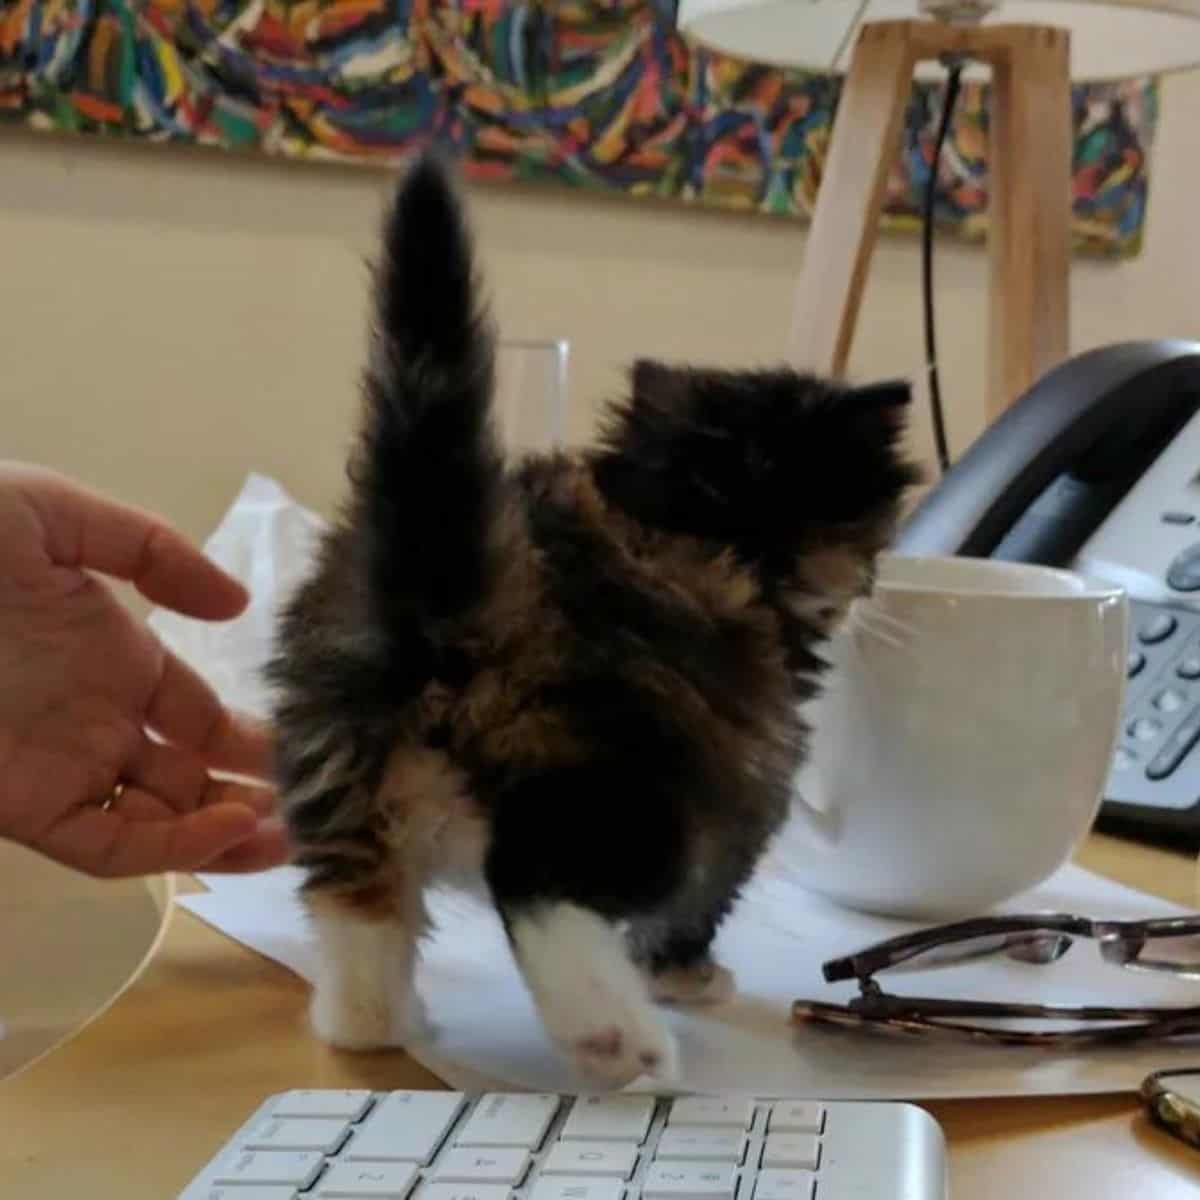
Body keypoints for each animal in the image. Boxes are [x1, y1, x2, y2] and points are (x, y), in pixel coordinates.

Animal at [265, 152, 916, 1089]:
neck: (703, 531)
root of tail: (440, 594)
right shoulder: (748, 790)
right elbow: (700, 904)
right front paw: (690, 978)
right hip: (623, 785)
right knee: (533, 881)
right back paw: (614, 1034)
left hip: (334, 761)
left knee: (360, 914)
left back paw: (380, 1021)